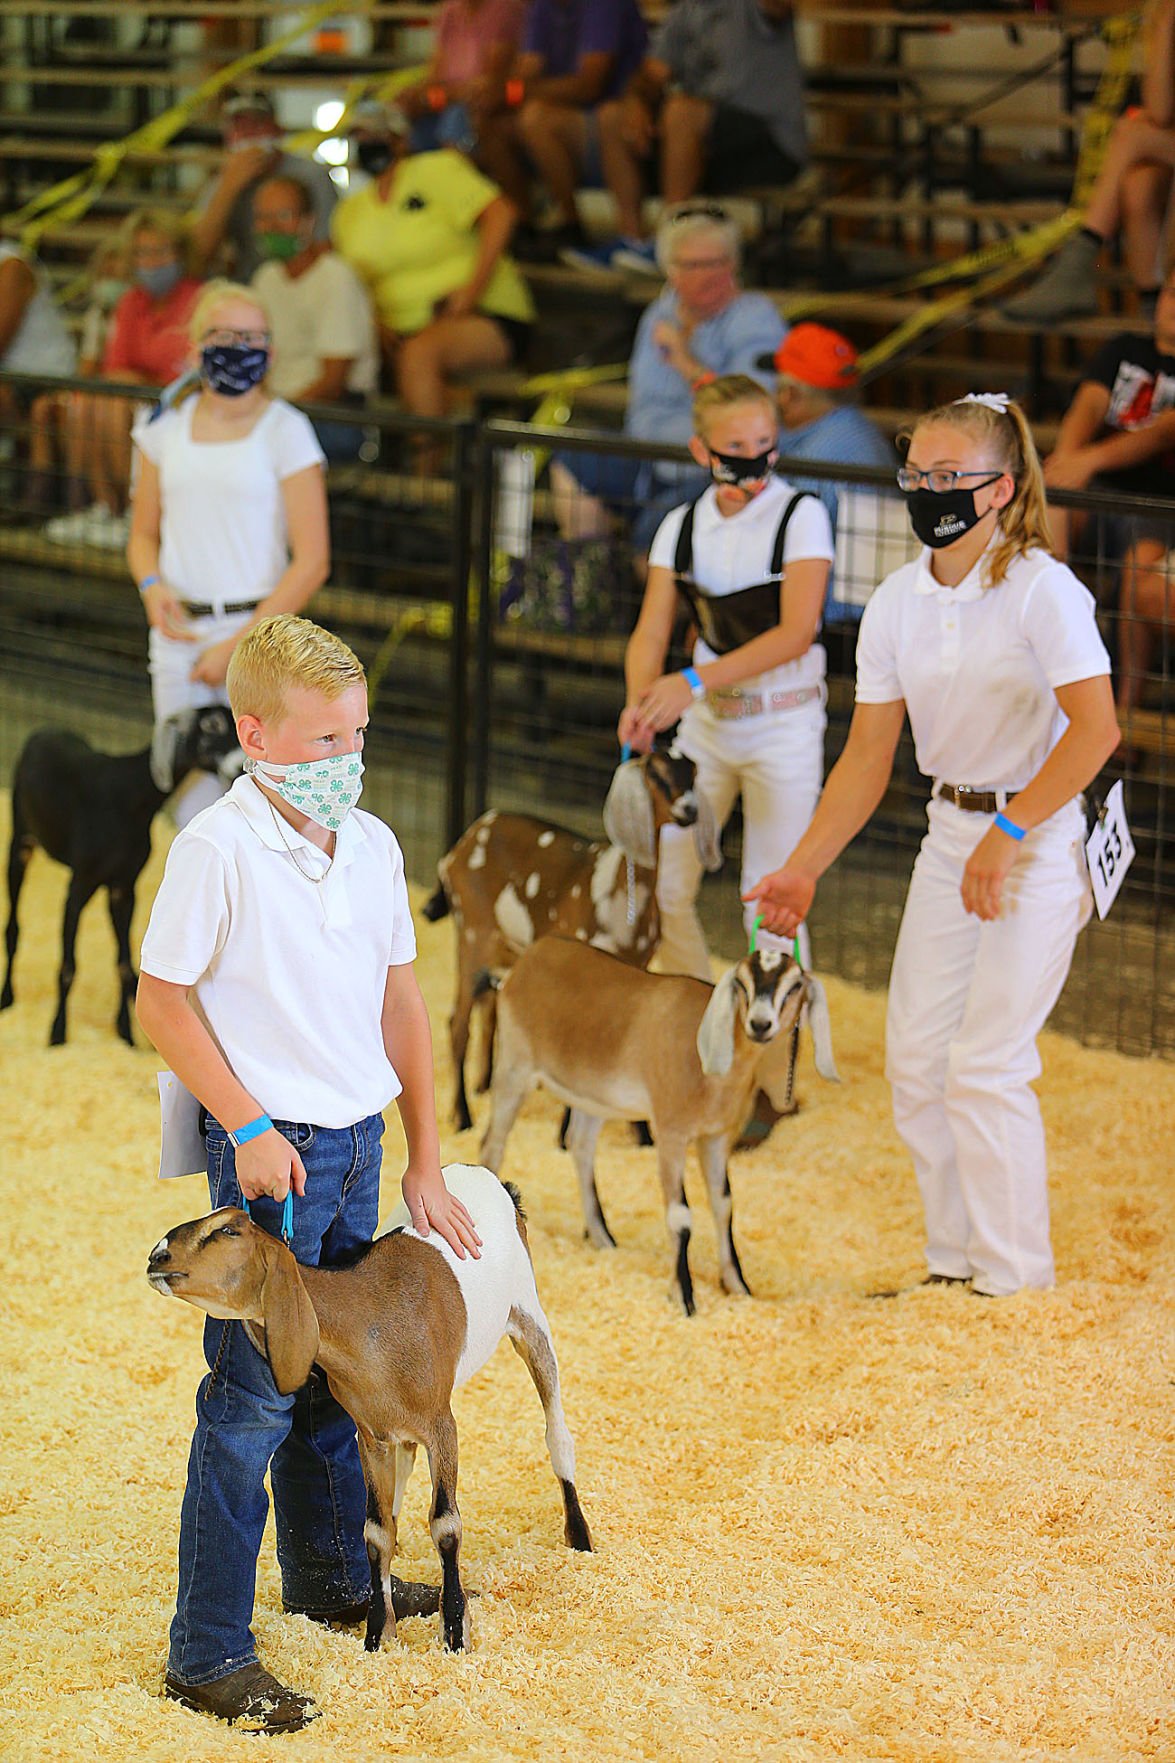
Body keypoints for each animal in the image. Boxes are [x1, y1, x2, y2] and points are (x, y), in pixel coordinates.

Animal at [1, 705, 239, 1043]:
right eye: (212, 725)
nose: (239, 767)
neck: (130, 796)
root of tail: (44, 730)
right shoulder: (80, 882)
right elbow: (68, 967)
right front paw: (58, 1034)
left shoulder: (124, 887)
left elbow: (125, 964)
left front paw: (127, 1034)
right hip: (20, 840)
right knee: (12, 928)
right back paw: (7, 998)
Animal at [146, 1170, 589, 1650]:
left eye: (227, 1231)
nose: (157, 1255)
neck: (373, 1323)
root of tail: (493, 1180)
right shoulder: (370, 1435)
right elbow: (376, 1532)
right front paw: (378, 1633)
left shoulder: (442, 1425)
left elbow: (446, 1525)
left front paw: (455, 1631)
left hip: (529, 1317)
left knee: (557, 1432)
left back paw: (580, 1537)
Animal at [421, 740, 712, 1128]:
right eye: (657, 774)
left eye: (693, 773)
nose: (689, 810)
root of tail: (461, 845)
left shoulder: (638, 964)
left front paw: (639, 1129)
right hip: (472, 932)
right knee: (458, 1022)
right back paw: (464, 1116)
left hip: (507, 945)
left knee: (489, 1005)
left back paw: (483, 1086)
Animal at [479, 944, 836, 1318]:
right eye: (741, 982)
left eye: (794, 986)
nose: (760, 1024)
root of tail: (528, 958)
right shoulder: (670, 1132)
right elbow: (681, 1217)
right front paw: (684, 1296)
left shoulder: (716, 1136)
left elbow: (724, 1205)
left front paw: (738, 1285)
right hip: (514, 1066)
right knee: (493, 1144)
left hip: (593, 1098)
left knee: (581, 1146)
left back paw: (603, 1237)